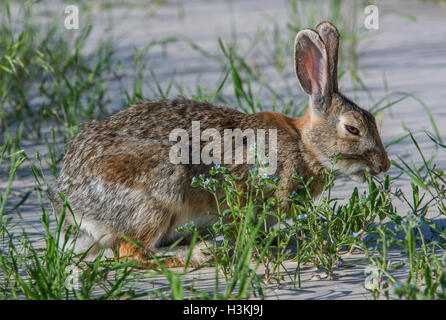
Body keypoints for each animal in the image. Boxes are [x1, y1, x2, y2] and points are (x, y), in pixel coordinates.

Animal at [52, 21, 390, 268]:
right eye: (353, 128)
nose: (383, 165)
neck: (304, 146)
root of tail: (74, 206)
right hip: (157, 195)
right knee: (130, 253)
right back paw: (196, 255)